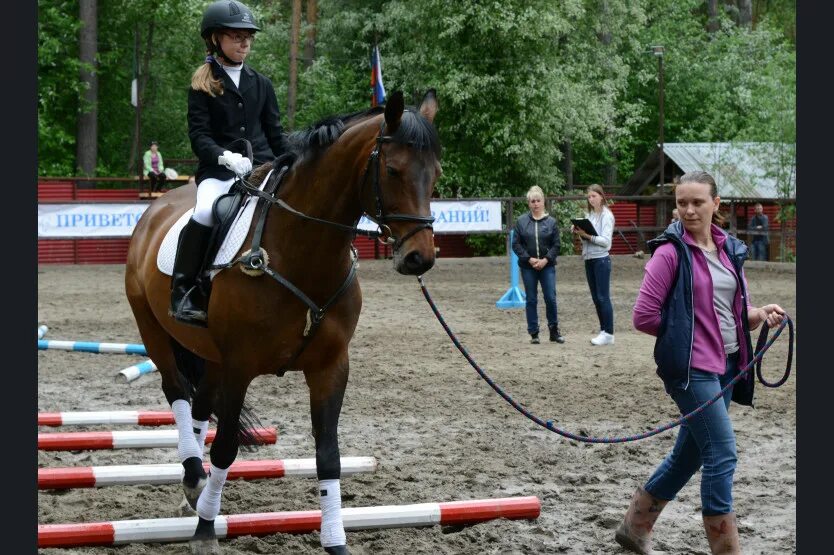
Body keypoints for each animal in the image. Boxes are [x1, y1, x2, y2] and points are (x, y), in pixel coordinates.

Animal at [125, 89, 442, 552]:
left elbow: (328, 457)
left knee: (200, 404)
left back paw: (192, 489)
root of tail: (157, 208)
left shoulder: (330, 367)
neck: (303, 253)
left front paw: (335, 541)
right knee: (178, 392)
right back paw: (193, 475)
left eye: (435, 174)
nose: (420, 258)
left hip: (212, 355)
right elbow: (225, 450)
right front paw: (206, 530)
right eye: (394, 170)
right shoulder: (240, 366)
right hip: (155, 333)